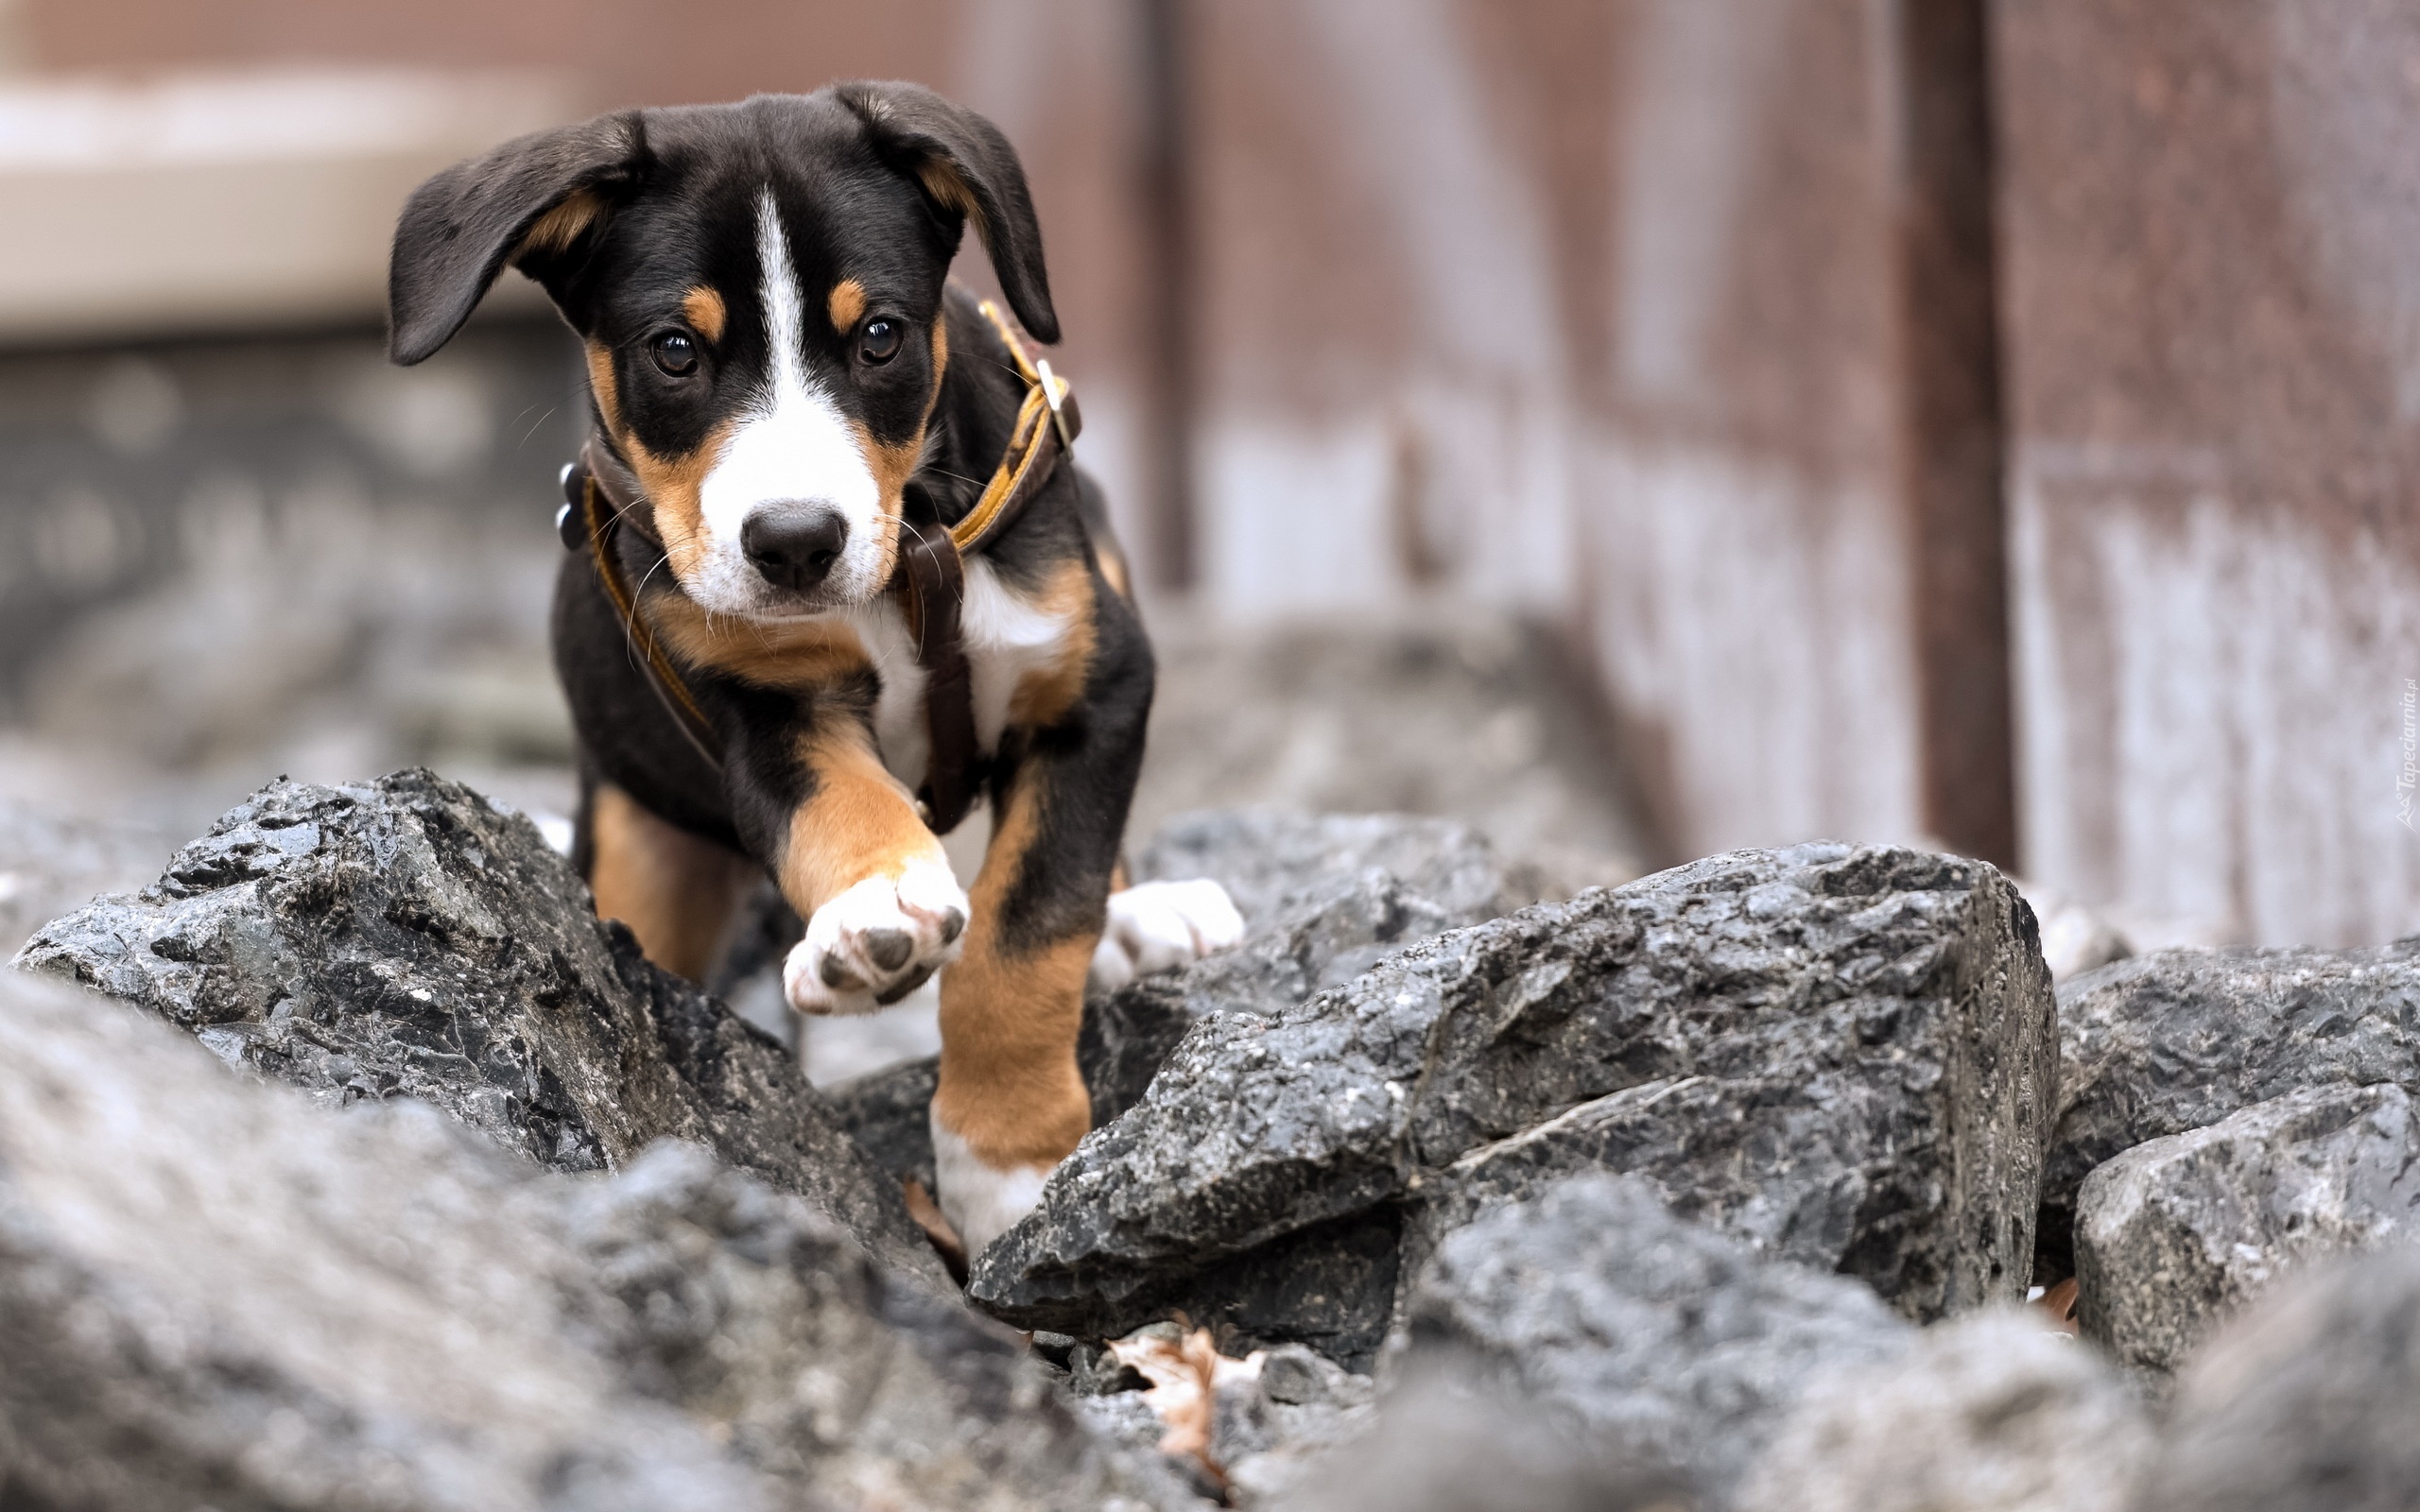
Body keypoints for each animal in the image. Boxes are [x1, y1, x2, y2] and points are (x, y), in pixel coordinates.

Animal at [391, 79, 1248, 1247]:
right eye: (674, 350)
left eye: (879, 335)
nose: (795, 542)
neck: (898, 580)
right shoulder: (768, 713)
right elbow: (842, 811)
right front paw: (876, 918)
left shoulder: (1096, 689)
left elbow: (1027, 929)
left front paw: (1006, 1165)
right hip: (643, 851)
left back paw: (1138, 916)